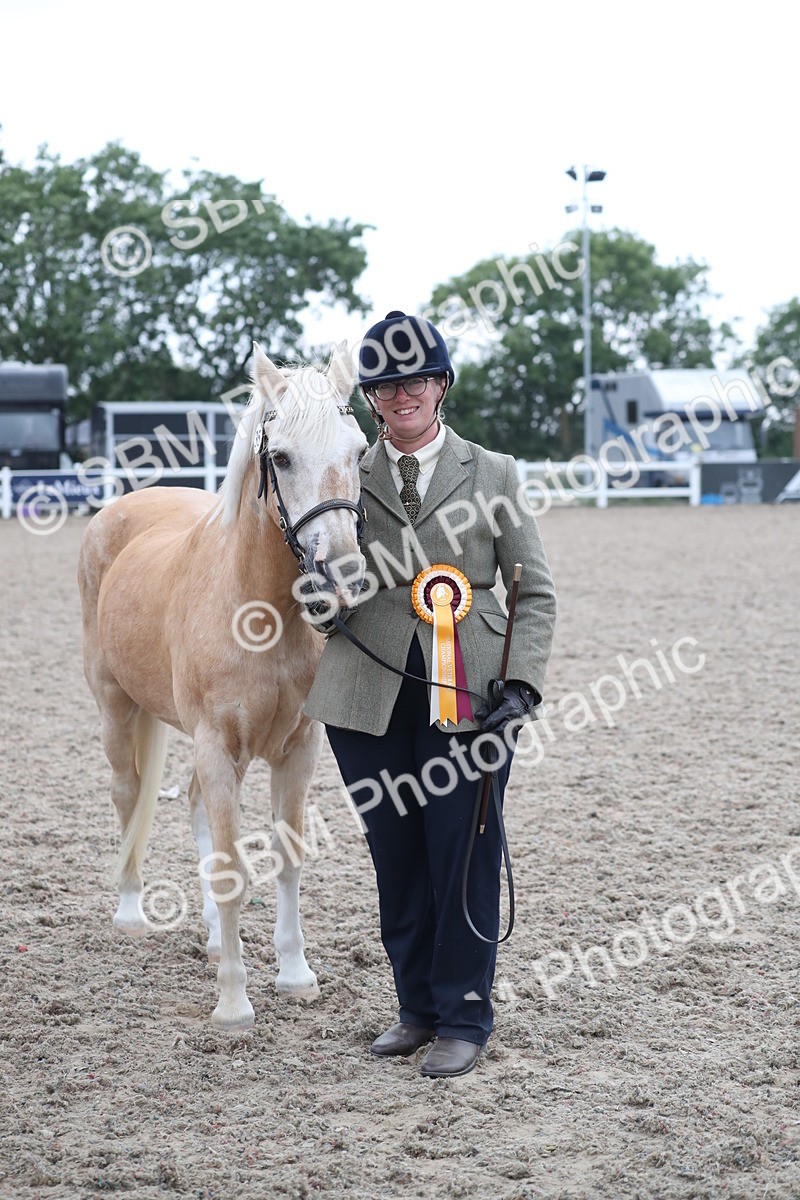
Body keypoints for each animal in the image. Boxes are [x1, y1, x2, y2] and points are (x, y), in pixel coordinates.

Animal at [78, 343, 368, 1030]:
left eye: (358, 450)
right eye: (280, 457)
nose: (342, 576)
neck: (261, 611)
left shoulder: (297, 749)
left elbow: (286, 857)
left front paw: (295, 975)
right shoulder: (216, 745)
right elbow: (233, 869)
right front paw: (235, 1003)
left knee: (188, 806)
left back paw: (212, 938)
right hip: (115, 707)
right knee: (128, 794)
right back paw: (130, 913)